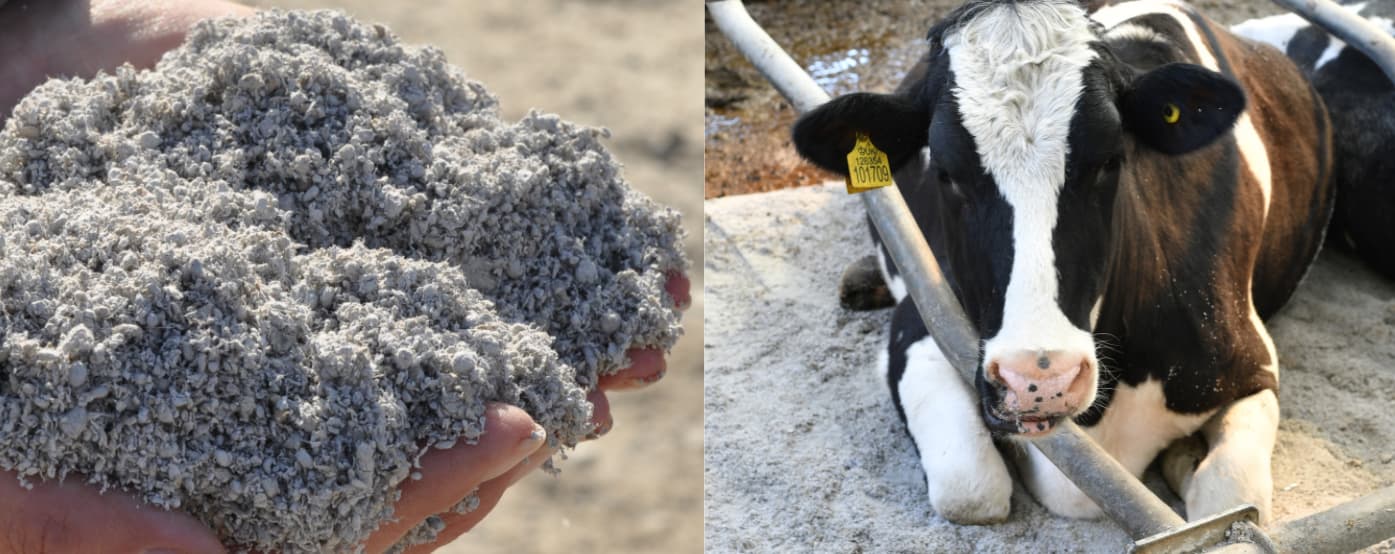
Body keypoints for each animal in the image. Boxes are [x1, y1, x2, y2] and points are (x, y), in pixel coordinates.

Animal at [792, 0, 1334, 526]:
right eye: (943, 170)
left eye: (1112, 160)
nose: (1040, 382)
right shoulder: (923, 322)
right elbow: (970, 489)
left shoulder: (1247, 359)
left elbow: (1233, 498)